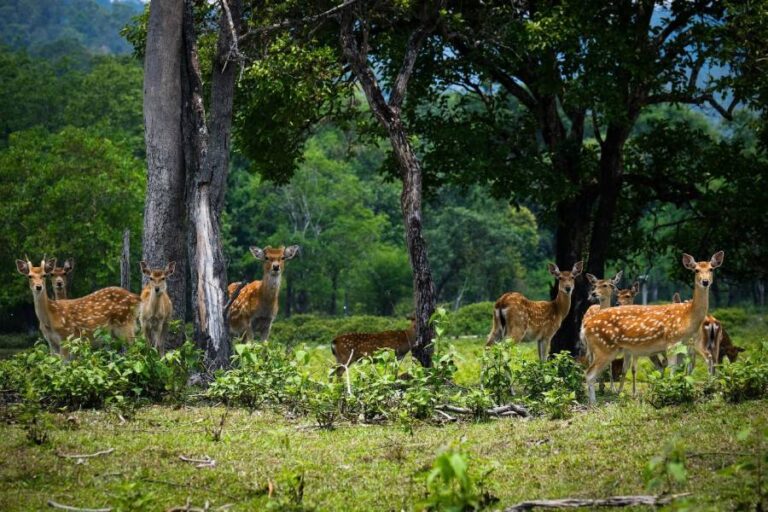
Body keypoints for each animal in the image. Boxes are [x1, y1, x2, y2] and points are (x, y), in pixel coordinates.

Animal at [582, 251, 724, 404]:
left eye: (711, 269)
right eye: (696, 270)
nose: (705, 281)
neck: (687, 317)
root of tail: (586, 326)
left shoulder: (683, 345)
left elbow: (679, 371)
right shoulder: (671, 342)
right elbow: (672, 371)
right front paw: (670, 394)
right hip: (604, 348)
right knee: (589, 374)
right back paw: (594, 403)